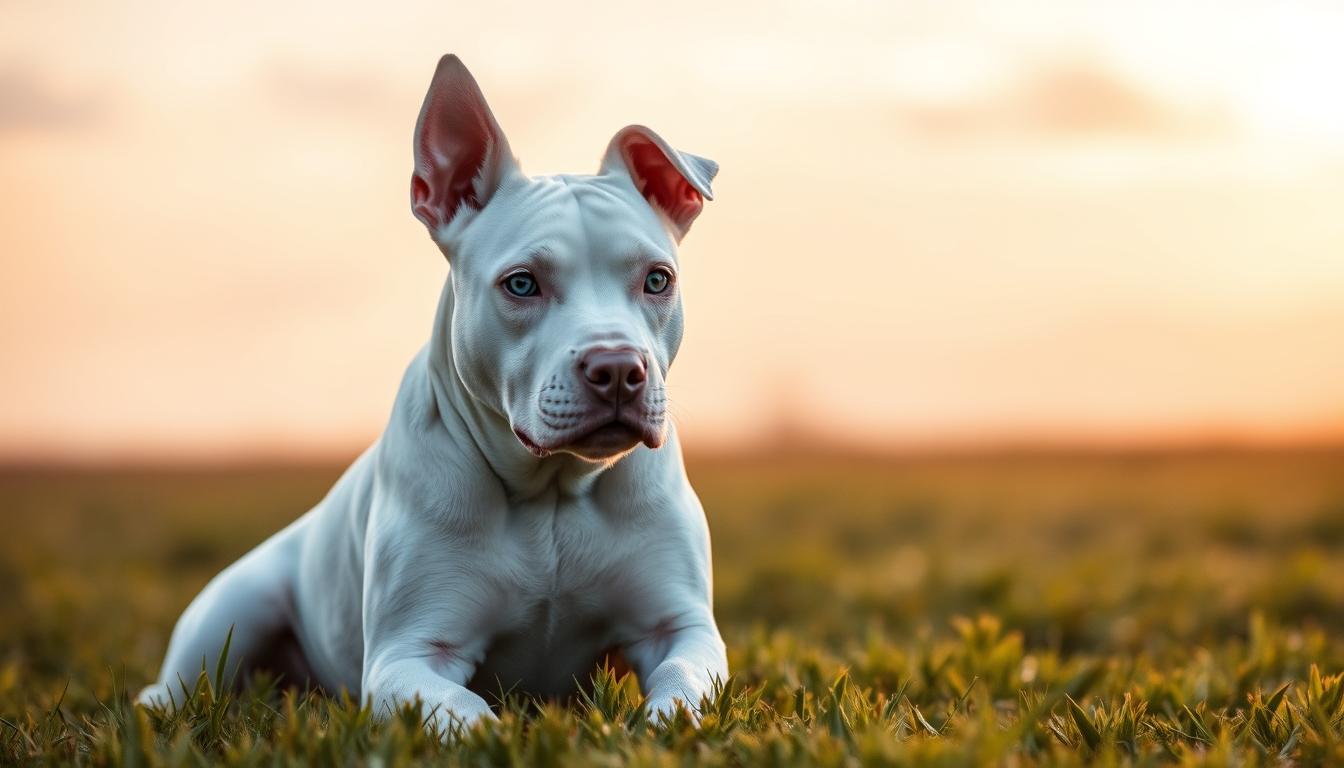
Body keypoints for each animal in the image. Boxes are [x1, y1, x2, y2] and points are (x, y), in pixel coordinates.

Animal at [137, 55, 731, 731]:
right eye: (521, 283)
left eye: (658, 279)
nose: (617, 368)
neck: (551, 493)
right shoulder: (412, 654)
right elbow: (465, 711)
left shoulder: (680, 628)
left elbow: (680, 685)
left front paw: (659, 724)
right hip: (236, 606)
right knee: (181, 685)